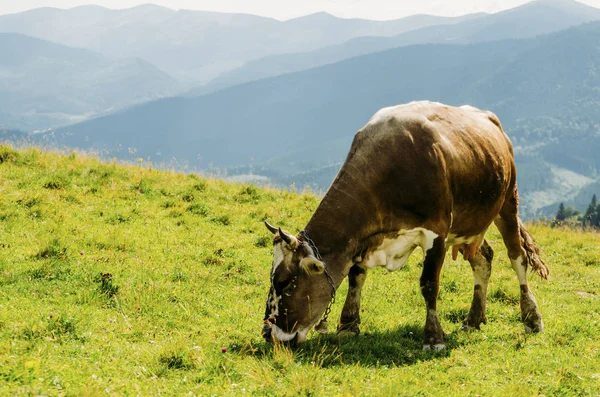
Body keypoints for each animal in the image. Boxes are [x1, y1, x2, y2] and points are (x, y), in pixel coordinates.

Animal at [262, 101, 548, 350]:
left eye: (283, 282)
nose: (268, 333)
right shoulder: (364, 238)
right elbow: (356, 276)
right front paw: (348, 325)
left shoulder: (436, 231)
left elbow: (429, 284)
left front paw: (433, 338)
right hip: (469, 225)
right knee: (484, 259)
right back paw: (474, 319)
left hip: (508, 200)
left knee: (518, 258)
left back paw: (532, 318)